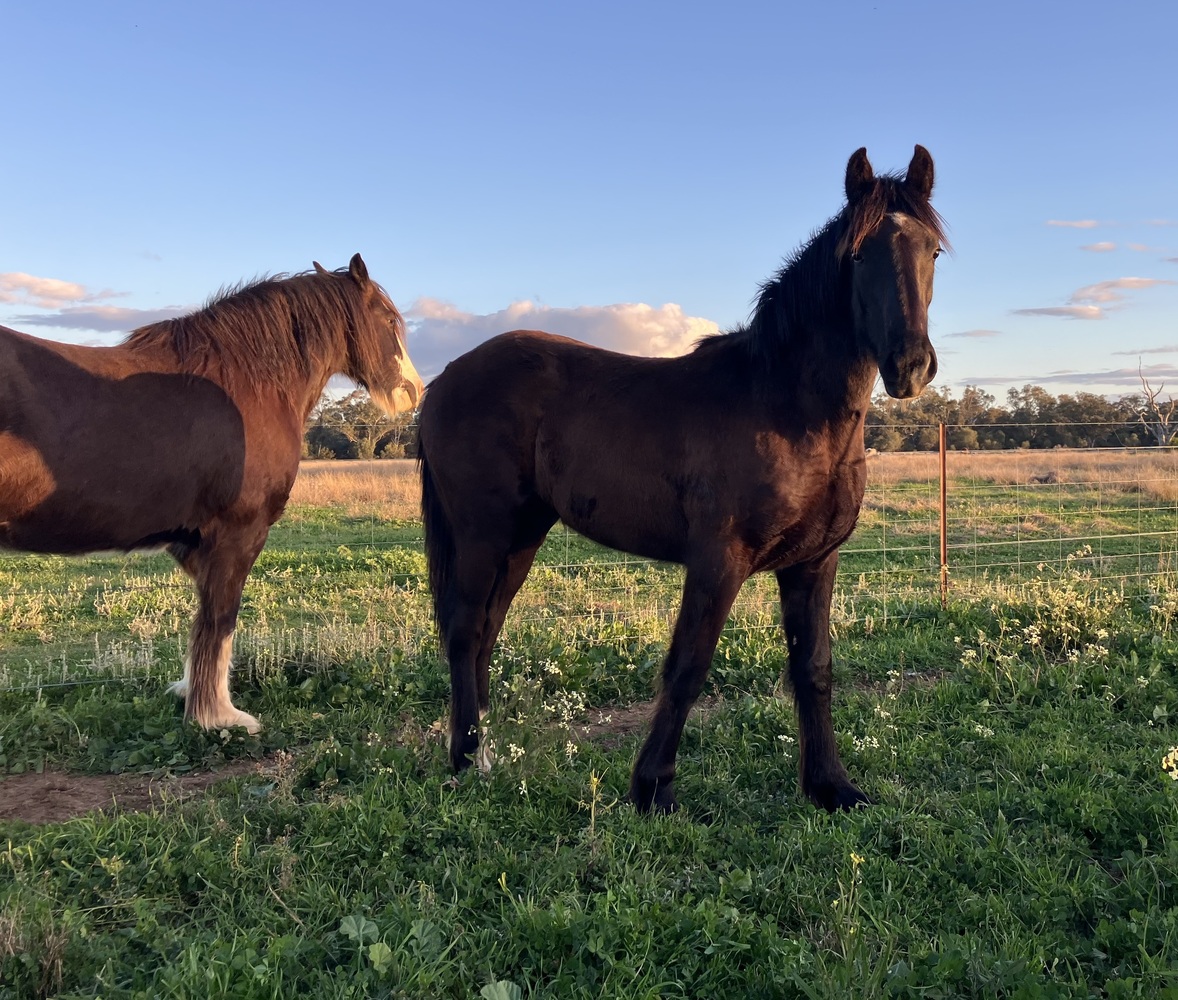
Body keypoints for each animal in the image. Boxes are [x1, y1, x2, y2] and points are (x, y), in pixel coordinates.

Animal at [0, 254, 424, 733]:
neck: (244, 384)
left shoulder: (194, 543)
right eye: (388, 319)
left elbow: (202, 624)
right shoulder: (237, 534)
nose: (413, 391)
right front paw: (217, 715)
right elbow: (219, 621)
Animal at [417, 146, 947, 813]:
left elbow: (815, 668)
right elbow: (689, 665)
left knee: (486, 630)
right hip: (484, 533)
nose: (910, 366)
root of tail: (445, 378)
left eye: (933, 251)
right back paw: (465, 760)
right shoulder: (719, 559)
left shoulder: (814, 562)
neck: (788, 407)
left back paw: (483, 752)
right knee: (465, 631)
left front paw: (831, 786)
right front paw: (654, 788)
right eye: (857, 254)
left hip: (522, 536)